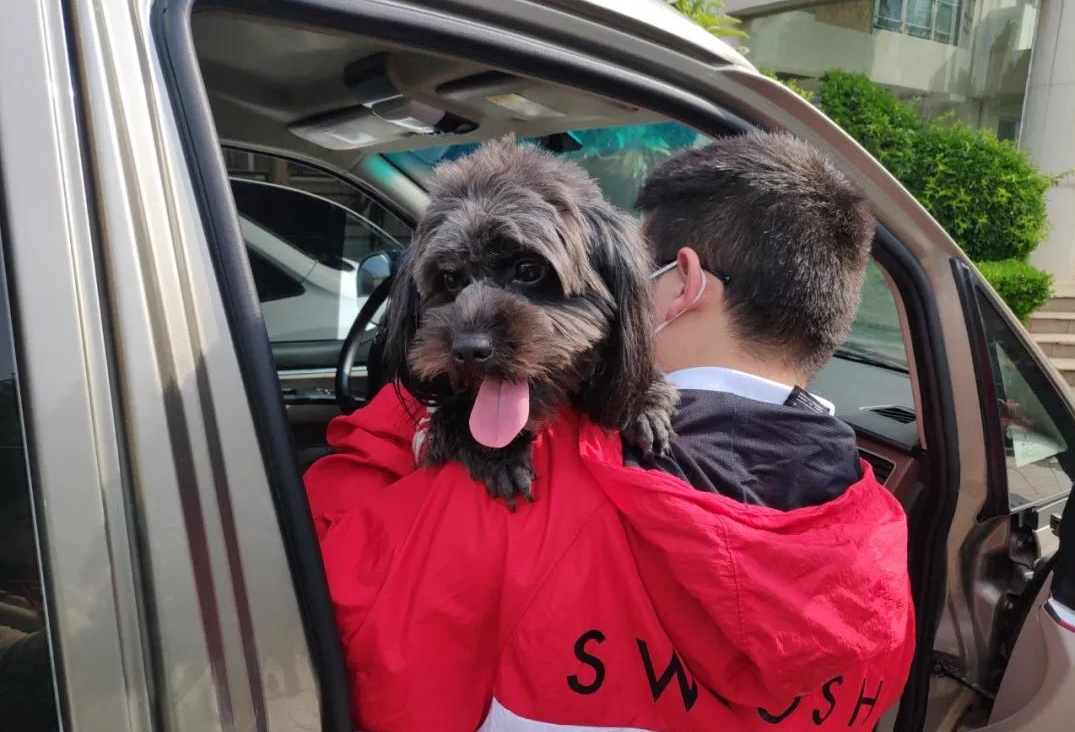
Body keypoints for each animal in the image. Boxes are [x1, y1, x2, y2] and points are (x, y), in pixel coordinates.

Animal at [382, 135, 678, 508]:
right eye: (449, 278)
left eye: (529, 269)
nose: (468, 350)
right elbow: (453, 421)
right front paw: (499, 454)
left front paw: (645, 401)